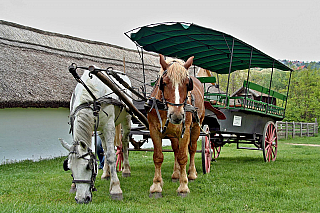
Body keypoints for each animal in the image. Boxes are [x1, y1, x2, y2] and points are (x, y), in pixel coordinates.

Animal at [59, 69, 131, 204]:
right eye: (69, 167)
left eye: (89, 167)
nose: (81, 199)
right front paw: (73, 186)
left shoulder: (109, 125)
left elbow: (111, 156)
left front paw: (115, 189)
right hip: (101, 130)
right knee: (105, 149)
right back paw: (106, 174)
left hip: (126, 119)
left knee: (124, 144)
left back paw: (126, 170)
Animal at [148, 54, 205, 196]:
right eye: (164, 83)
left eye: (187, 84)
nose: (177, 115)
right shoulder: (154, 130)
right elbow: (158, 157)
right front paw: (156, 185)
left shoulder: (185, 131)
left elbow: (183, 156)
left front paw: (183, 186)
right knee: (175, 149)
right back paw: (176, 174)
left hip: (196, 127)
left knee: (192, 149)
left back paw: (191, 173)